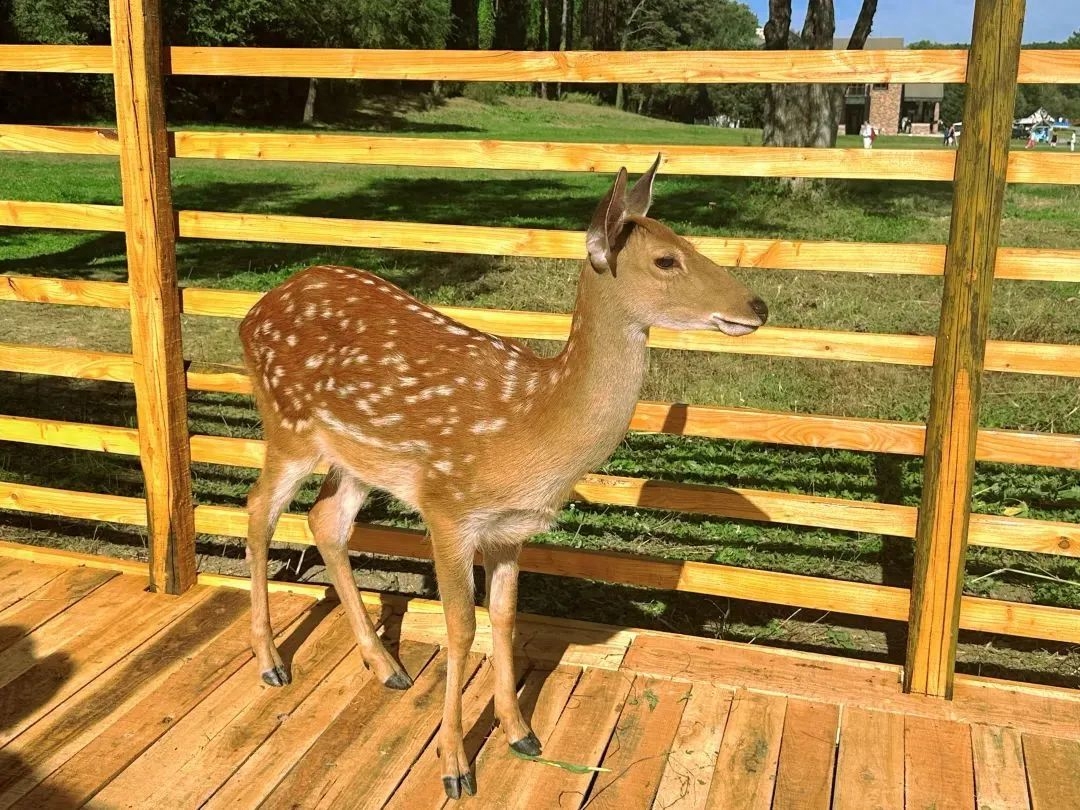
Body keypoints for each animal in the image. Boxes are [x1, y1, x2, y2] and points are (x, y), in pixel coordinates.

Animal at [239, 155, 767, 799]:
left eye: (690, 241)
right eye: (667, 259)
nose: (759, 306)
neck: (532, 428)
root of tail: (253, 313)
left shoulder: (510, 530)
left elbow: (506, 620)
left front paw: (521, 734)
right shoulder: (447, 506)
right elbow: (461, 628)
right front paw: (454, 765)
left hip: (357, 459)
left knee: (325, 520)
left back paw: (387, 667)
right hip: (287, 426)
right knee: (260, 507)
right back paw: (272, 664)